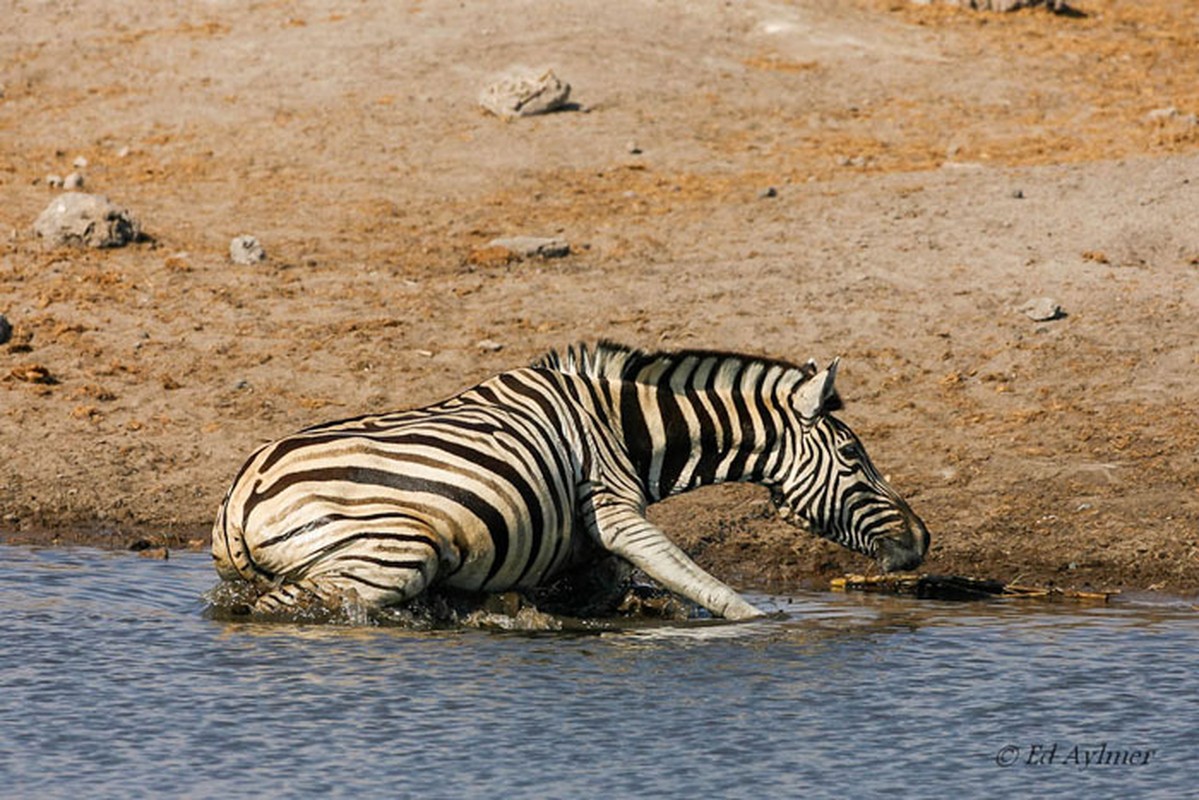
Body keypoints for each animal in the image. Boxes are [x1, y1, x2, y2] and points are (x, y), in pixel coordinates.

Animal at [213, 340, 925, 623]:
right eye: (853, 456)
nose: (922, 541)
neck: (625, 426)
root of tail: (243, 497)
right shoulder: (610, 507)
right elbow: (708, 587)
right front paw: (761, 623)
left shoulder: (585, 547)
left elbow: (611, 590)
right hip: (389, 556)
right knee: (281, 609)